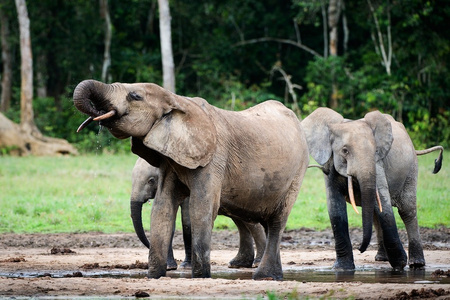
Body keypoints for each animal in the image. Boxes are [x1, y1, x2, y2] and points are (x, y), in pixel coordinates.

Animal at [129, 157, 268, 270]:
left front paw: (185, 266)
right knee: (241, 222)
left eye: (151, 180)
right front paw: (169, 267)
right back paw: (238, 263)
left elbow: (187, 222)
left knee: (250, 224)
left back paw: (257, 263)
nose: (148, 245)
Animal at [300, 107, 444, 270]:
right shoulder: (330, 165)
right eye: (345, 150)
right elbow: (335, 208)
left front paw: (399, 264)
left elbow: (383, 204)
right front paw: (343, 268)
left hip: (411, 169)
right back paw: (381, 258)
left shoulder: (378, 164)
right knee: (376, 212)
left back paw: (416, 264)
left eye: (375, 150)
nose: (360, 249)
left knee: (407, 210)